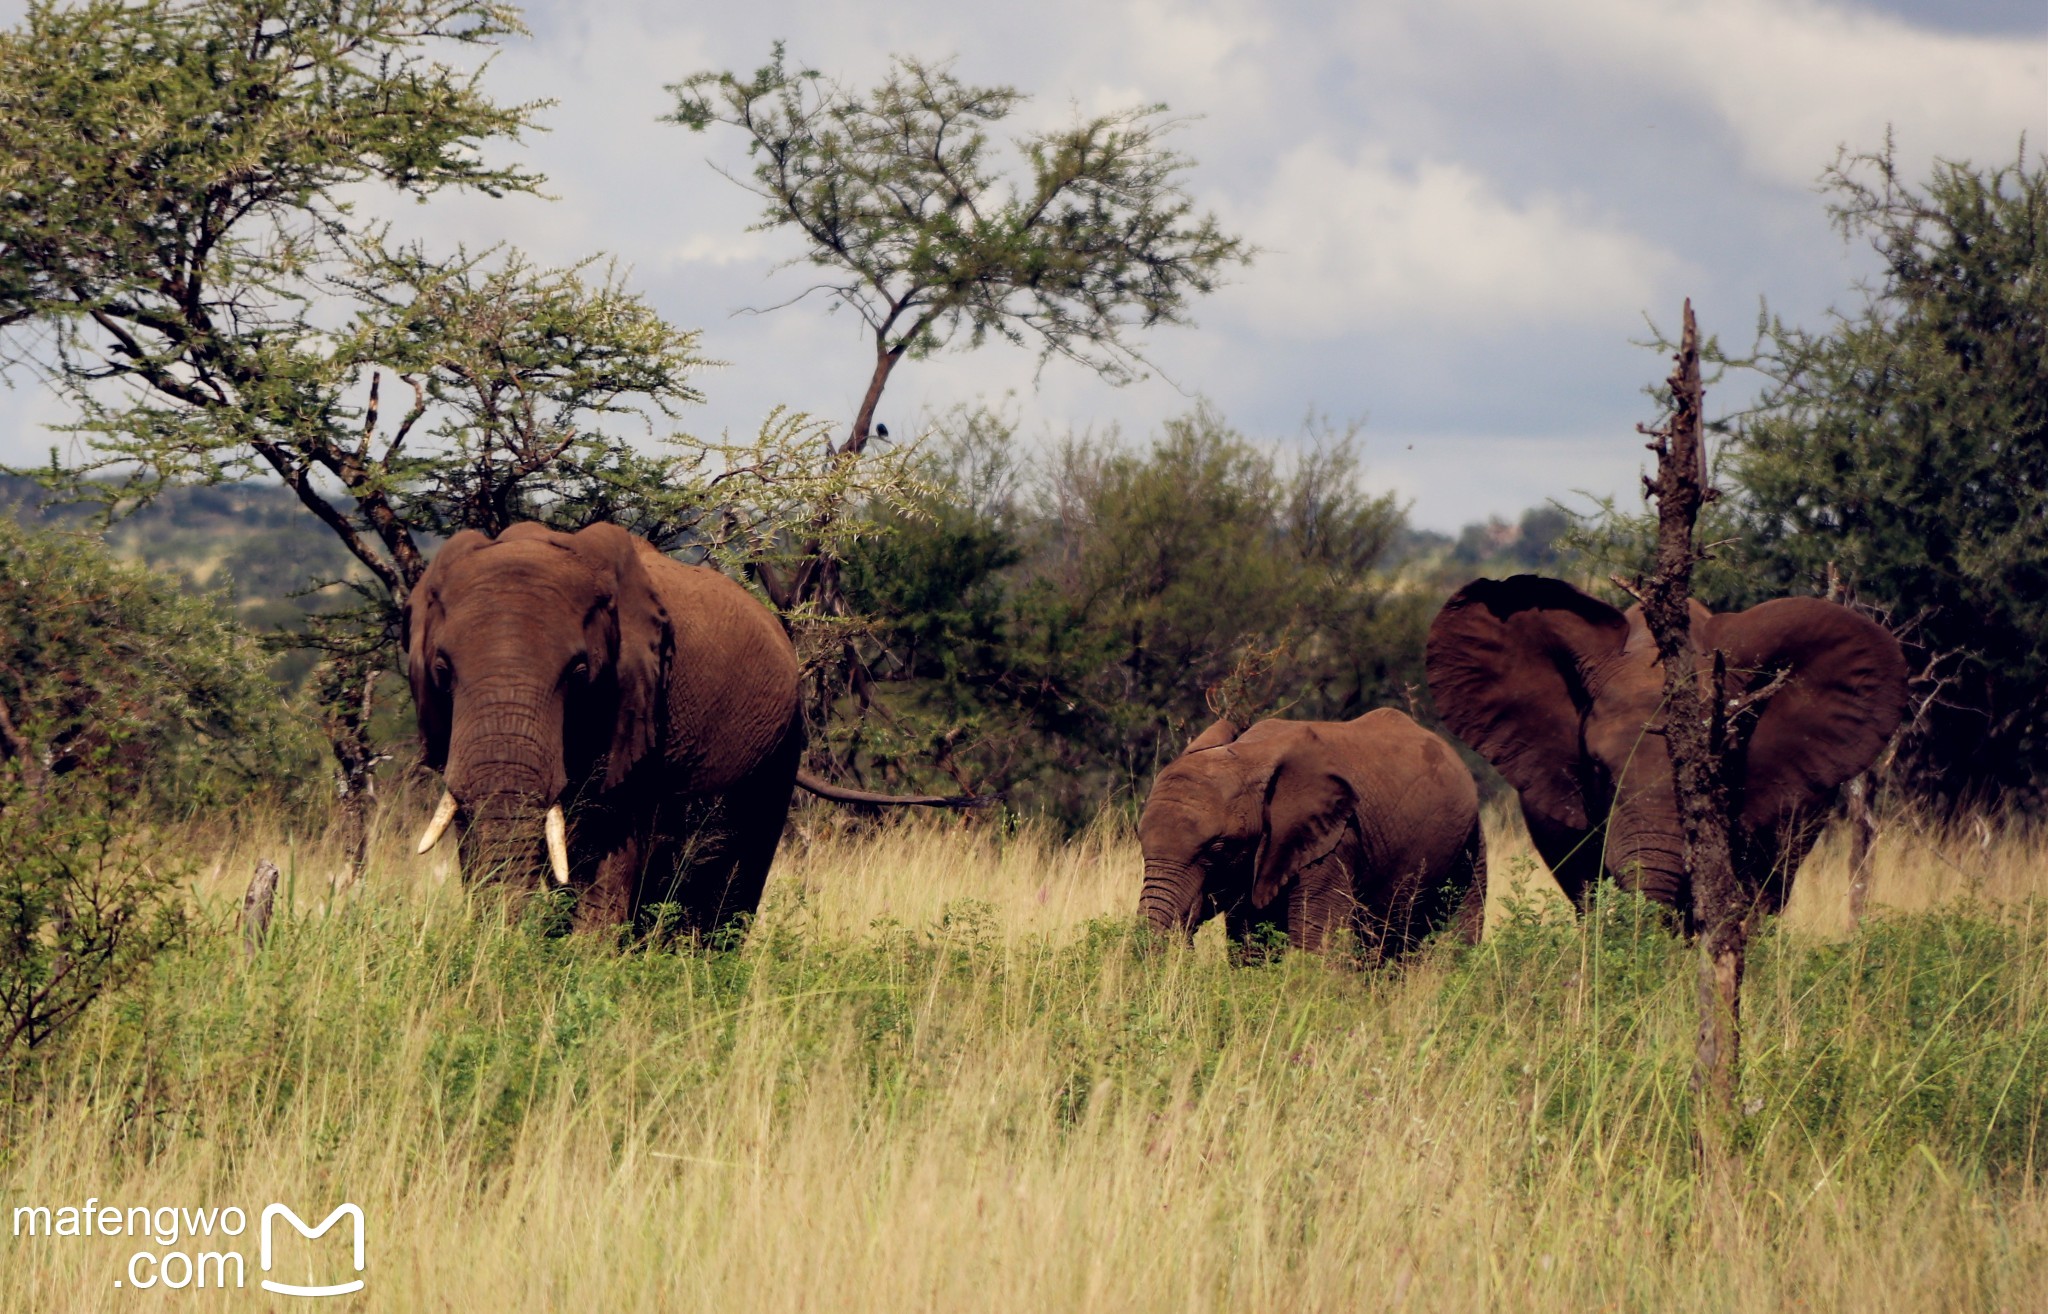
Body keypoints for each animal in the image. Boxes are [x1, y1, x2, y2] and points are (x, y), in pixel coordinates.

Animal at [407, 519, 974, 933]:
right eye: (442, 670)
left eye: (580, 673)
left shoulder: (643, 706)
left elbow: (615, 845)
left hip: (778, 753)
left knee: (730, 883)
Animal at [1138, 704, 1490, 949]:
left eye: (1218, 847)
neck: (1248, 755)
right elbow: (1250, 944)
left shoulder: (1335, 841)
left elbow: (1313, 938)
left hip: (1471, 837)